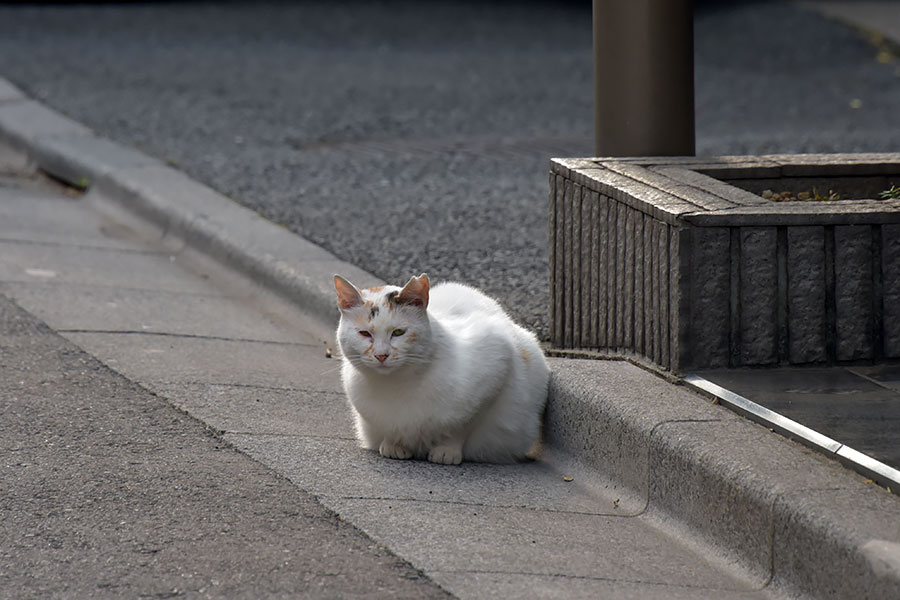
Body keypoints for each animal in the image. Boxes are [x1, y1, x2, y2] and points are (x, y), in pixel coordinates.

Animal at [336, 272, 552, 464]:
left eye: (398, 332)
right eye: (364, 334)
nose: (381, 355)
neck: (395, 384)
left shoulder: (495, 364)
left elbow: (461, 427)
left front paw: (446, 451)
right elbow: (389, 426)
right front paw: (394, 445)